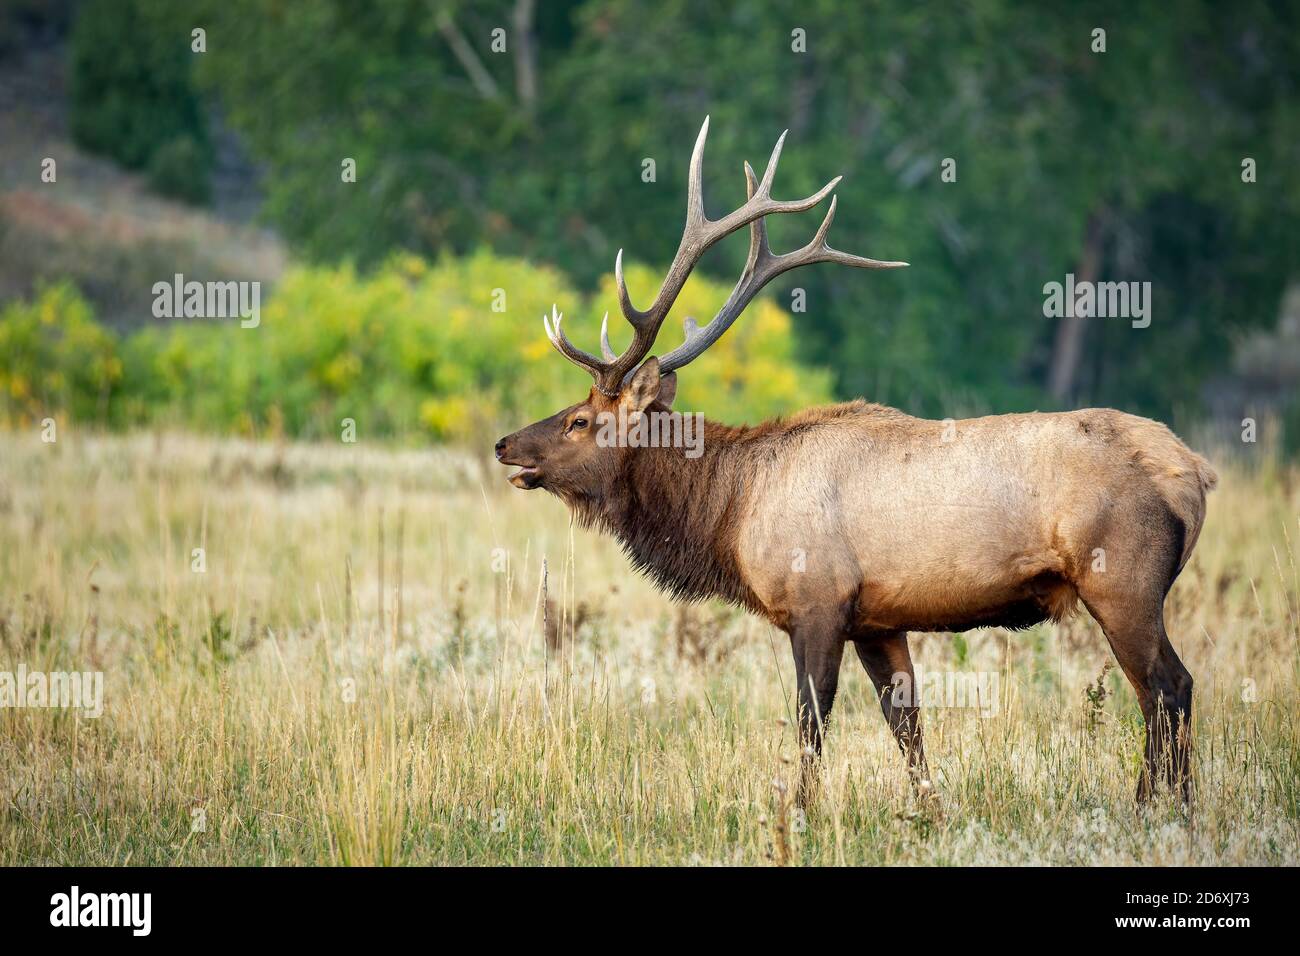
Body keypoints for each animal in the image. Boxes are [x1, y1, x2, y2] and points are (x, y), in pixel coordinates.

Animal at [496, 119, 1216, 806]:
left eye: (579, 420)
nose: (505, 444)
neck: (732, 512)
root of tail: (1194, 474)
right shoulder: (878, 620)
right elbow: (907, 723)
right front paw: (929, 812)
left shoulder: (817, 600)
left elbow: (811, 722)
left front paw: (801, 812)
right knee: (1160, 694)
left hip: (1121, 581)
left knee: (1169, 687)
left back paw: (1161, 810)